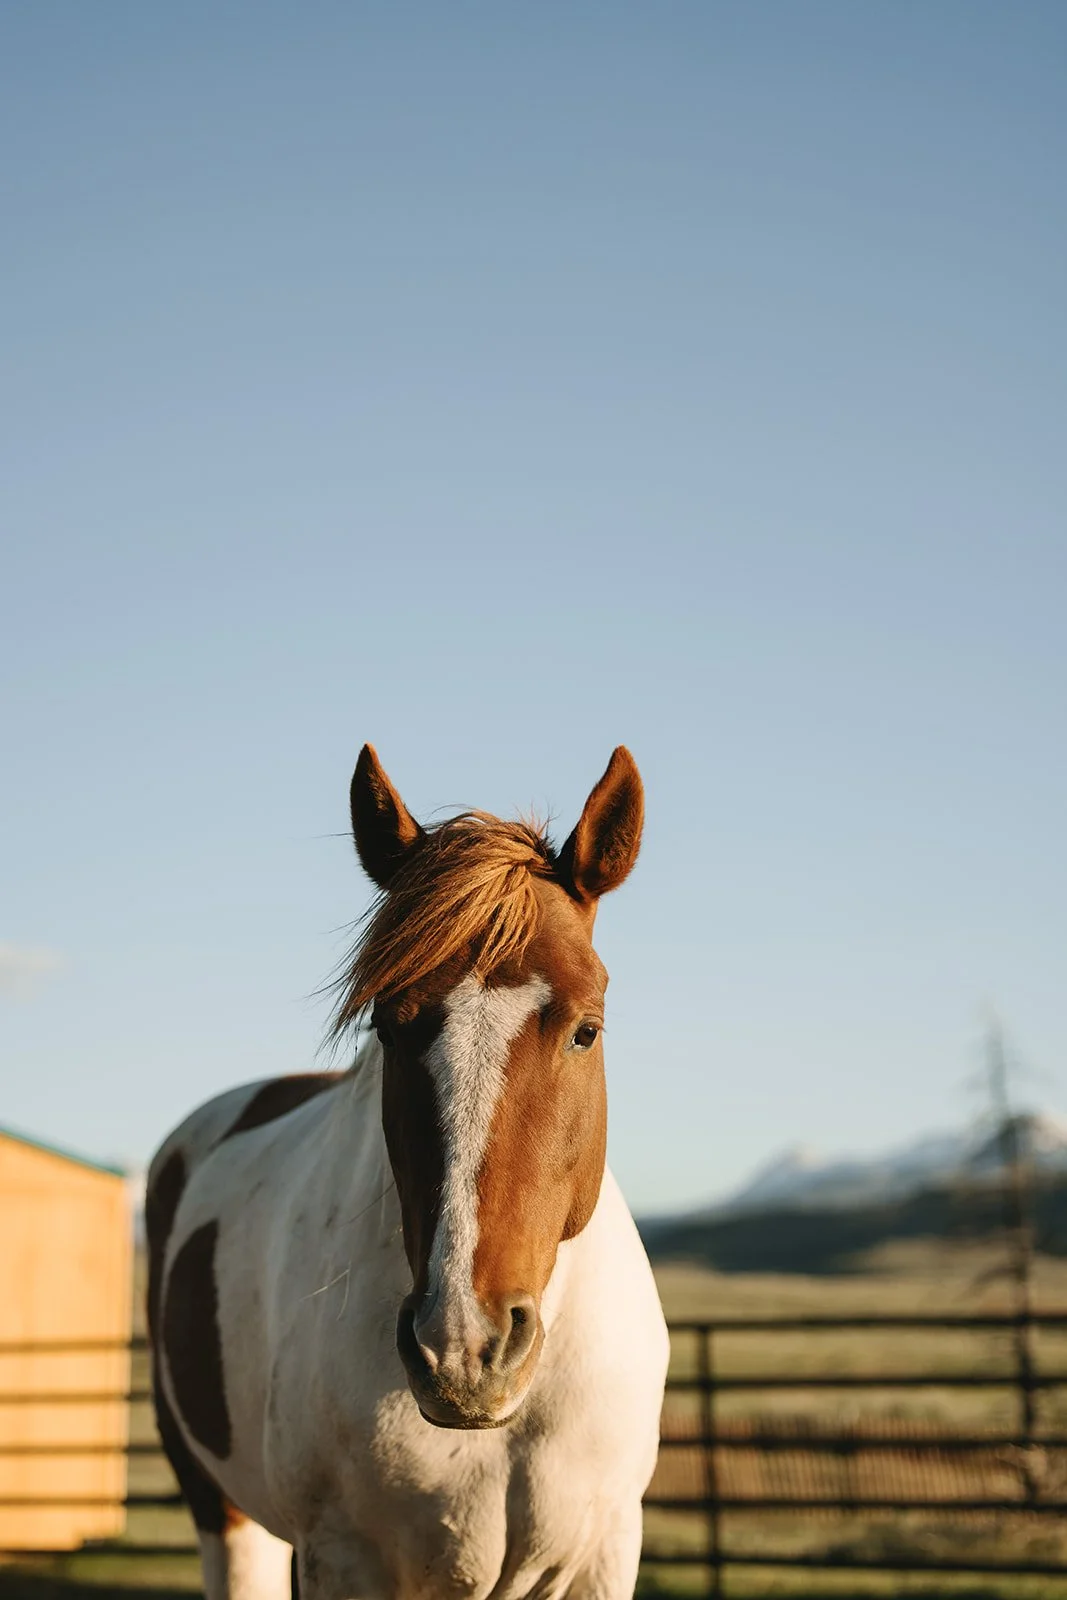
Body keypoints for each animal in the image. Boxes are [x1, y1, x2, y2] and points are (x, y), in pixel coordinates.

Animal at [146, 745, 668, 1600]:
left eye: (585, 1030)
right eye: (387, 1028)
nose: (462, 1347)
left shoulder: (600, 1554)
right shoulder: (346, 1558)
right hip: (221, 1509)